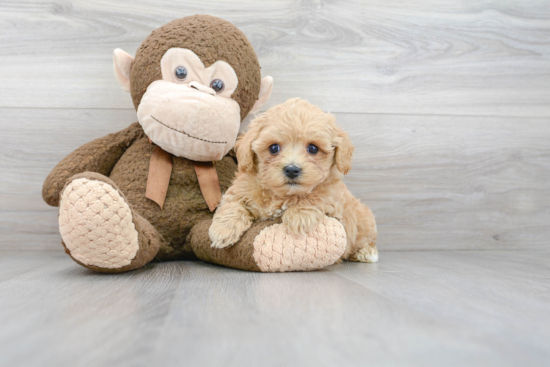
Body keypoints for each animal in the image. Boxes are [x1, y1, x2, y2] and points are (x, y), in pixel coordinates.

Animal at [208, 98, 380, 262]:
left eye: (313, 148)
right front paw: (223, 230)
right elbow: (232, 204)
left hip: (364, 221)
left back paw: (366, 253)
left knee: (368, 239)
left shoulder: (333, 198)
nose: (291, 169)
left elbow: (318, 194)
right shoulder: (239, 189)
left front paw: (299, 216)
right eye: (273, 148)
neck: (282, 195)